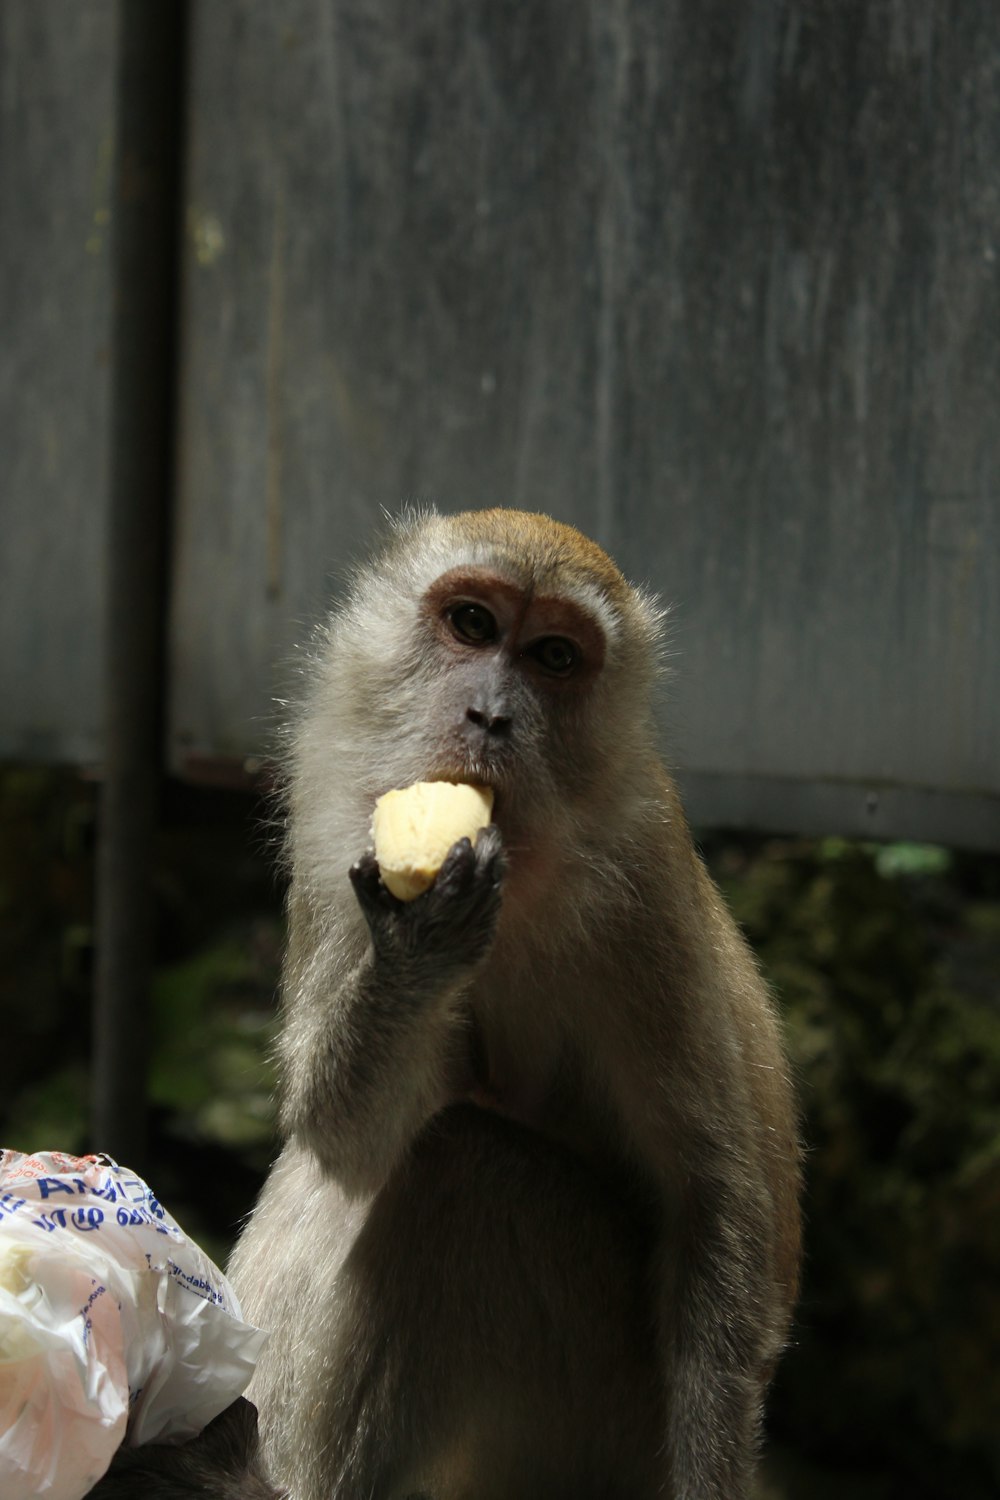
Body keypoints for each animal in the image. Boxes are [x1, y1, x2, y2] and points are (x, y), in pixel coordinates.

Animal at [226, 507, 797, 1500]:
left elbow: (709, 1203)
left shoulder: (642, 889)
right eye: (473, 625)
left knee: (469, 1168)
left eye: (555, 657)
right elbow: (343, 1142)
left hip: (592, 1416)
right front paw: (418, 950)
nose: (489, 715)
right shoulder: (333, 820)